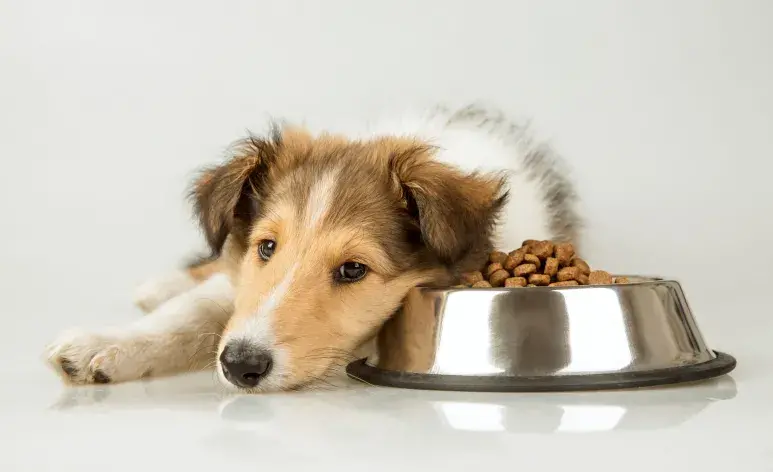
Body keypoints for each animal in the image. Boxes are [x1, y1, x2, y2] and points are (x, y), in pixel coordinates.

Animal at [45, 105, 580, 392]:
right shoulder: (243, 283)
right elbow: (189, 311)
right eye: (266, 246)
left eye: (353, 270)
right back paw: (157, 286)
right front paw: (100, 344)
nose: (240, 366)